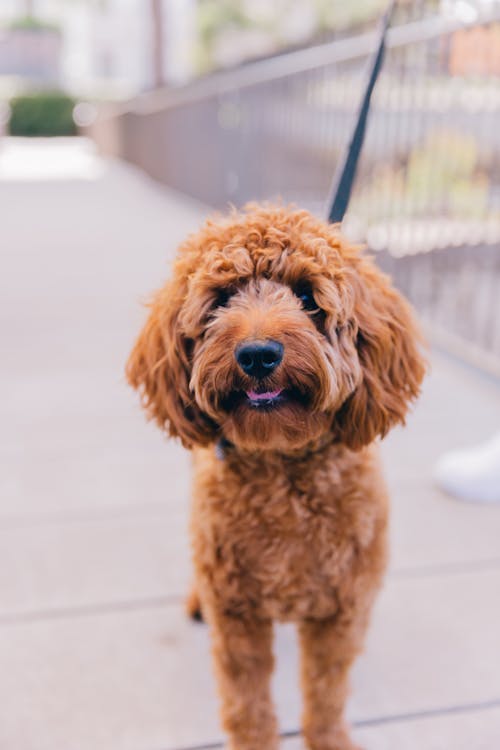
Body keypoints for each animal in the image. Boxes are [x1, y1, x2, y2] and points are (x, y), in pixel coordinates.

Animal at [126, 206, 426, 750]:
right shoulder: (237, 618)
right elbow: (248, 705)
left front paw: (330, 739)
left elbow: (327, 695)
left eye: (307, 297)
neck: (283, 465)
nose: (258, 354)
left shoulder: (340, 615)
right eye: (222, 299)